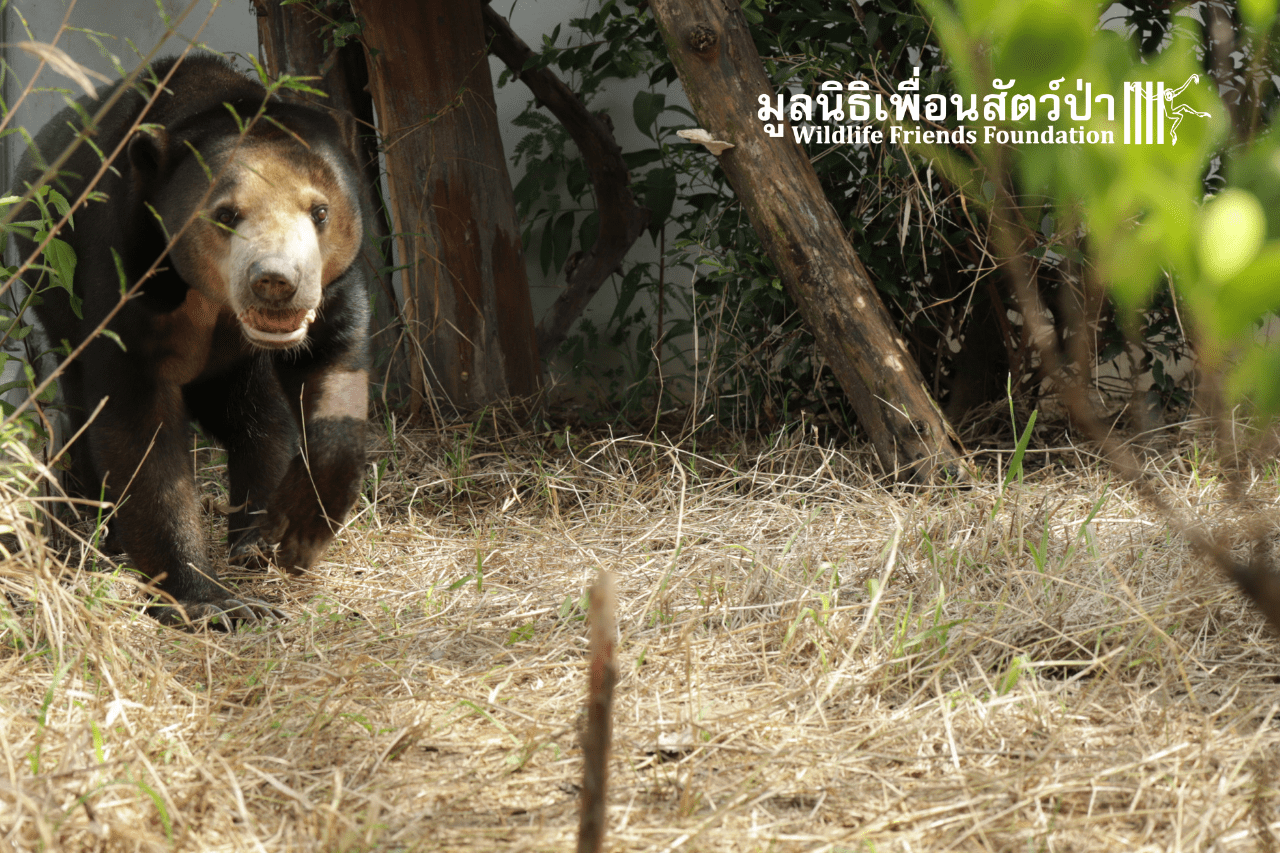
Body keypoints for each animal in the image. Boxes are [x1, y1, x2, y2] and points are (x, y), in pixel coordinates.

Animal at [11, 53, 369, 625]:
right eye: (225, 214)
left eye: (320, 212)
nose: (277, 282)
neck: (208, 297)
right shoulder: (125, 268)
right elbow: (139, 432)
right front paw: (213, 601)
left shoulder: (330, 289)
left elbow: (334, 366)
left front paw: (302, 524)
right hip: (50, 283)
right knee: (82, 411)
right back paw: (102, 534)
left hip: (234, 366)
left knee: (257, 417)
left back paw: (253, 540)